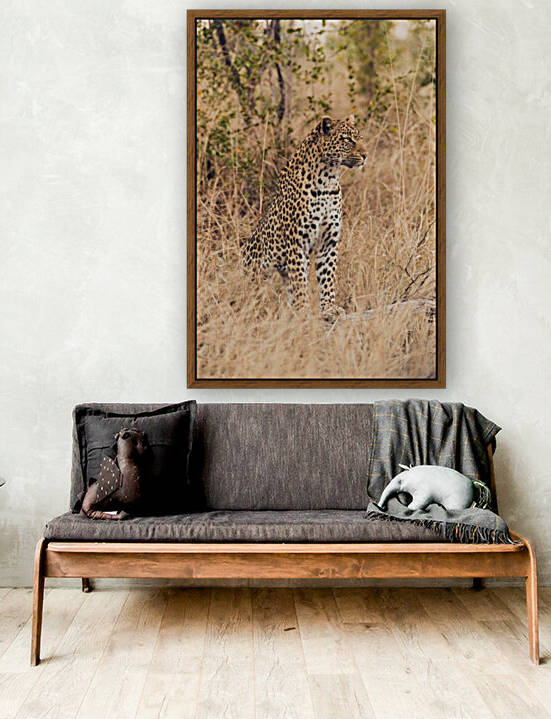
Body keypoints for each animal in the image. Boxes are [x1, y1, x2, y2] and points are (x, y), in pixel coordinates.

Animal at [242, 116, 367, 321]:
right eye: (347, 139)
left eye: (360, 138)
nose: (365, 155)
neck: (328, 179)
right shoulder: (296, 243)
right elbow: (300, 281)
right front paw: (302, 310)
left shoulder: (328, 241)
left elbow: (328, 277)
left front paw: (329, 308)